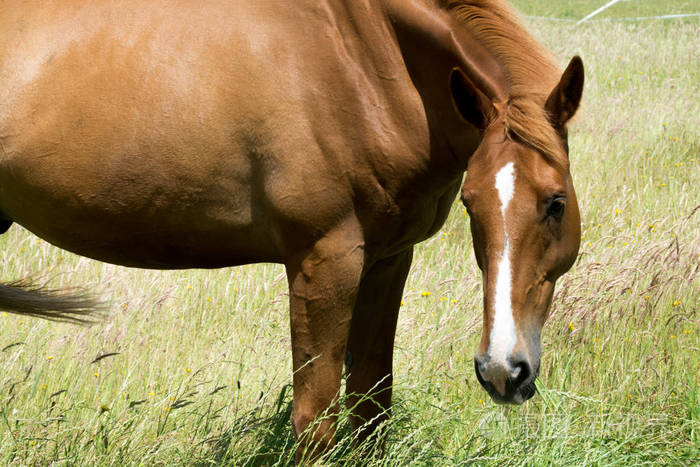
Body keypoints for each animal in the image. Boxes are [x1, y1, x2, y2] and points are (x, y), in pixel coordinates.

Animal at [0, 0, 583, 458]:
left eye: (555, 203)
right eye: (471, 202)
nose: (503, 370)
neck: (362, 64)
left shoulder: (388, 260)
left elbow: (370, 409)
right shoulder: (325, 264)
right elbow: (316, 420)